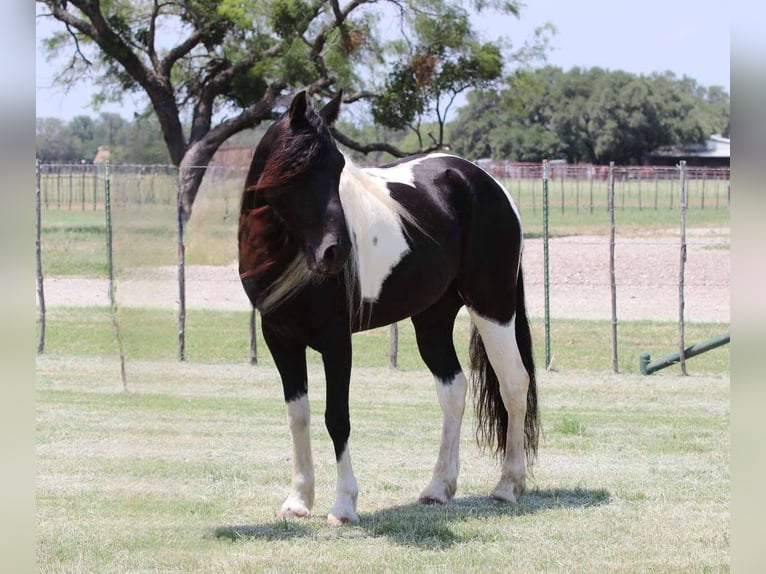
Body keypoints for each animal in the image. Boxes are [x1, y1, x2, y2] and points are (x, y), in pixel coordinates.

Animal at [238, 90, 539, 525]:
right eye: (298, 169)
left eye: (338, 167)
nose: (336, 252)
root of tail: (487, 183)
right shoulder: (279, 337)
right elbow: (299, 416)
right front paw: (298, 500)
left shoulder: (336, 340)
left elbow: (336, 417)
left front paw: (344, 506)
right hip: (432, 319)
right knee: (454, 390)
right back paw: (438, 488)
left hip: (493, 306)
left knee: (514, 382)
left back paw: (507, 486)